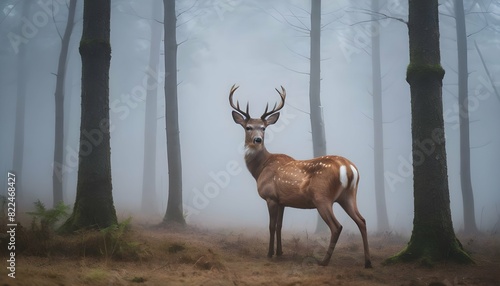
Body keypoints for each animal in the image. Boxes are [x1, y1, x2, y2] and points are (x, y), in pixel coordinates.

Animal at [230, 85, 372, 268]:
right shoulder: (282, 200)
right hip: (349, 195)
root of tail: (348, 168)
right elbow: (279, 226)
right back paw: (367, 262)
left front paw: (269, 254)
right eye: (248, 127)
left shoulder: (270, 197)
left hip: (322, 197)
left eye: (263, 128)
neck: (260, 169)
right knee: (362, 221)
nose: (257, 140)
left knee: (337, 226)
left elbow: (271, 226)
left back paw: (324, 261)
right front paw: (280, 252)